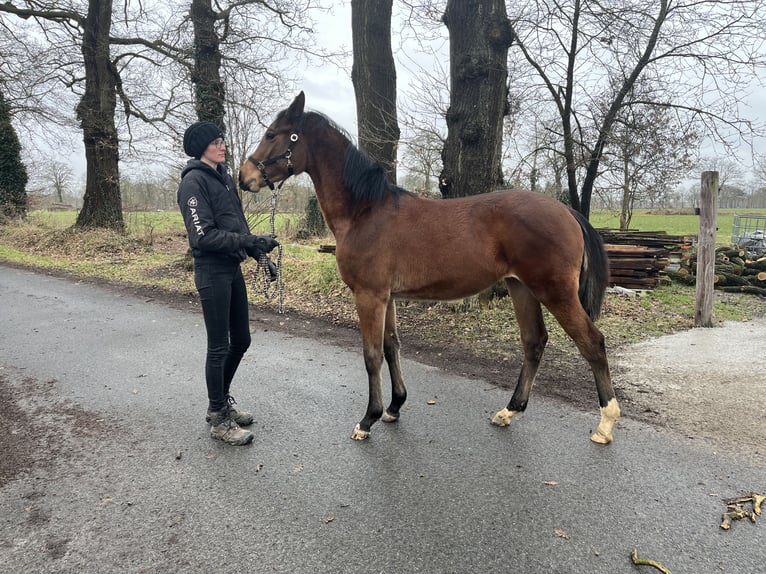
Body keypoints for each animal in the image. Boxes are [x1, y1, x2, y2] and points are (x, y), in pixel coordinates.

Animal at [239, 92, 620, 445]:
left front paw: (368, 419)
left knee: (593, 343)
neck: (365, 211)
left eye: (272, 134)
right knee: (534, 342)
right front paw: (394, 407)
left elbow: (371, 354)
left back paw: (605, 423)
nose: (244, 177)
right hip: (521, 288)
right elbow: (391, 346)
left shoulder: (369, 296)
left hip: (554, 292)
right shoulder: (387, 297)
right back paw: (508, 411)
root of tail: (567, 211)